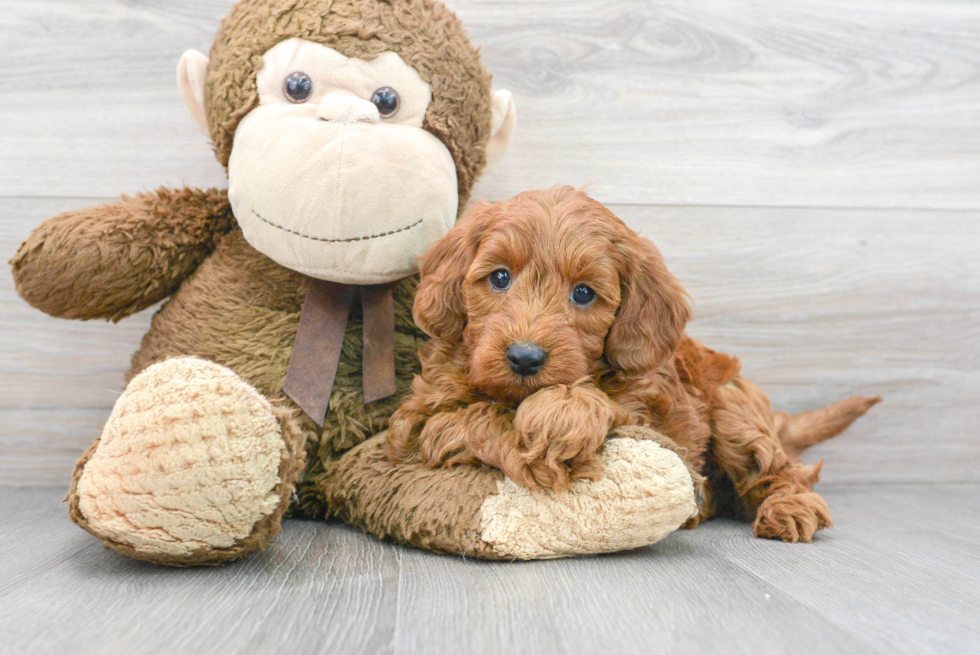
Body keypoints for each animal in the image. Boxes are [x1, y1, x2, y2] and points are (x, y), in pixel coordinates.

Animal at [386, 186, 876, 544]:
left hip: (733, 409)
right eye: (500, 277)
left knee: (778, 469)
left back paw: (788, 508)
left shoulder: (650, 406)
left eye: (583, 293)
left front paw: (561, 414)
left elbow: (601, 399)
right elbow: (478, 414)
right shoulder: (423, 420)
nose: (525, 357)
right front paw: (545, 428)